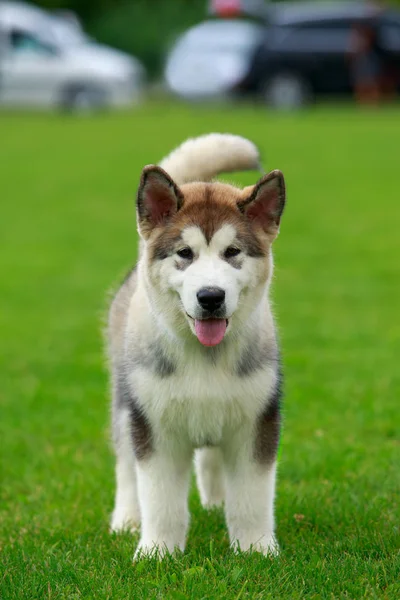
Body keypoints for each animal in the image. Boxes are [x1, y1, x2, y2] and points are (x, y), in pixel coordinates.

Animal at [108, 134, 286, 560]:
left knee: (210, 457)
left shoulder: (256, 422)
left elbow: (252, 498)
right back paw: (127, 519)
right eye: (184, 254)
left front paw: (256, 549)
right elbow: (160, 499)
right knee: (125, 465)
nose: (210, 296)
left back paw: (216, 501)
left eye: (232, 252)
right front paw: (157, 552)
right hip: (125, 402)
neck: (205, 356)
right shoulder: (155, 428)